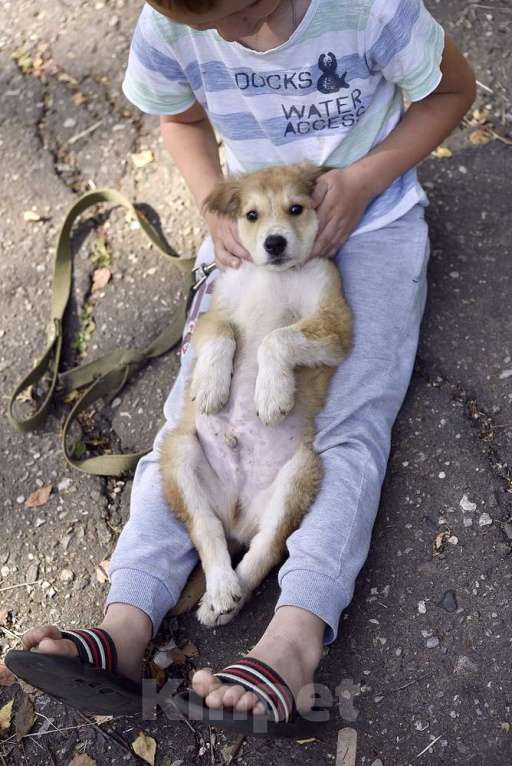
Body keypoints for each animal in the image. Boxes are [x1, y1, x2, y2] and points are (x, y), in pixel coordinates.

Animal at [160, 165, 352, 628]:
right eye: (251, 215)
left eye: (296, 208)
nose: (274, 243)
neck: (273, 276)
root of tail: (237, 512)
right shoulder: (213, 312)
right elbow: (224, 332)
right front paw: (211, 386)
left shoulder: (334, 322)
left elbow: (276, 338)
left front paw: (270, 393)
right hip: (178, 454)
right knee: (207, 530)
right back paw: (219, 590)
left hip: (301, 473)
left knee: (267, 547)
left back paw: (225, 598)